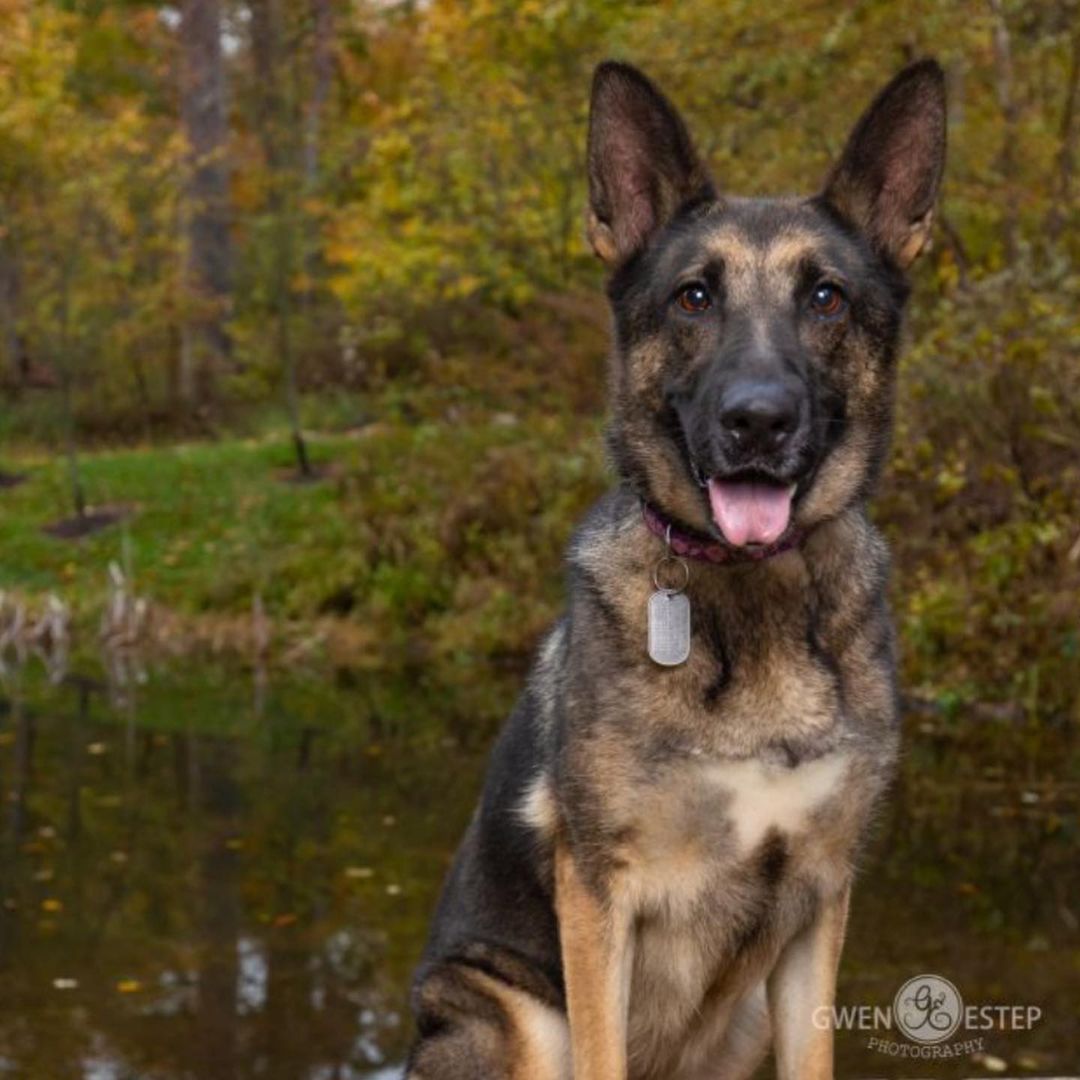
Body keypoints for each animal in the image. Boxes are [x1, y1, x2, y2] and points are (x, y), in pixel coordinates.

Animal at [406, 59, 946, 1080]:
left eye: (827, 299)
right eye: (694, 298)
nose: (758, 421)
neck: (749, 601)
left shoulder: (819, 906)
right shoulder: (599, 903)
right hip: (514, 1017)